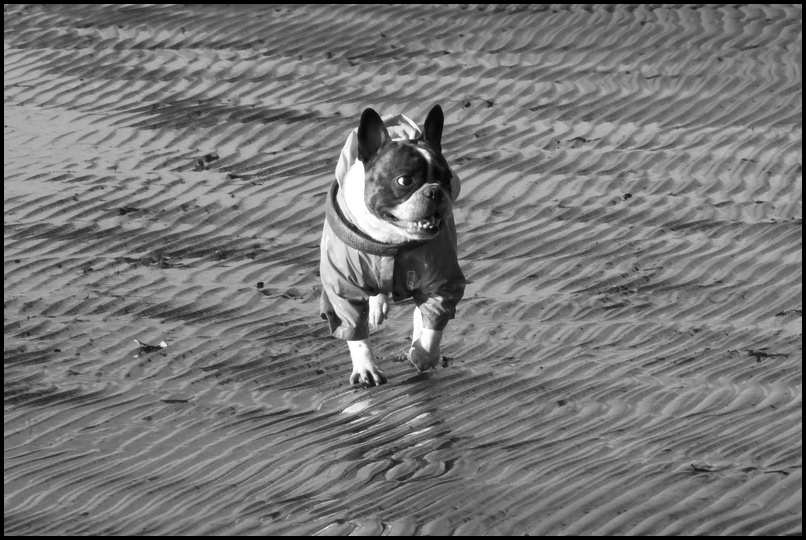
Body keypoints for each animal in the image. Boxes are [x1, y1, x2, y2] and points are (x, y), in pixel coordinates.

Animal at [319, 105, 465, 386]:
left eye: (447, 178)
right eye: (404, 181)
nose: (435, 191)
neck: (390, 241)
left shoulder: (441, 281)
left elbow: (434, 318)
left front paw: (424, 354)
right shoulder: (342, 289)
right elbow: (354, 329)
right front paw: (365, 368)